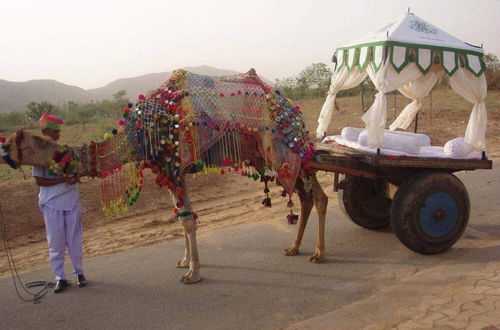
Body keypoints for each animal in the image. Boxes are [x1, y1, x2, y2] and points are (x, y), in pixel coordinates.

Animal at [1, 69, 330, 284]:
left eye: (17, 140)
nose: (2, 150)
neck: (137, 134)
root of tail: (292, 107)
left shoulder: (172, 166)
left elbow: (187, 220)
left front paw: (193, 273)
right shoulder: (167, 171)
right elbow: (182, 216)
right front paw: (184, 262)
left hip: (290, 148)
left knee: (319, 196)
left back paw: (319, 253)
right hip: (275, 158)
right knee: (303, 196)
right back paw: (294, 248)